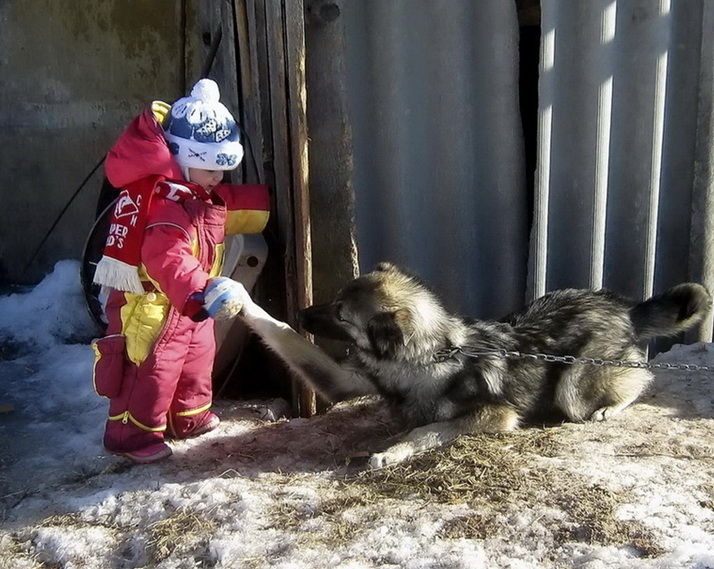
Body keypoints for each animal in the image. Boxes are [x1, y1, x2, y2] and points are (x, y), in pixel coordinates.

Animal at [232, 262, 708, 466]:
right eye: (334, 302)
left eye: (340, 314)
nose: (301, 312)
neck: (426, 357)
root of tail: (623, 307)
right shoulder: (342, 380)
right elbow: (281, 335)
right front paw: (242, 301)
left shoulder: (495, 415)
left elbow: (426, 430)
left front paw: (392, 451)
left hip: (572, 384)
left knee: (641, 375)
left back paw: (610, 407)